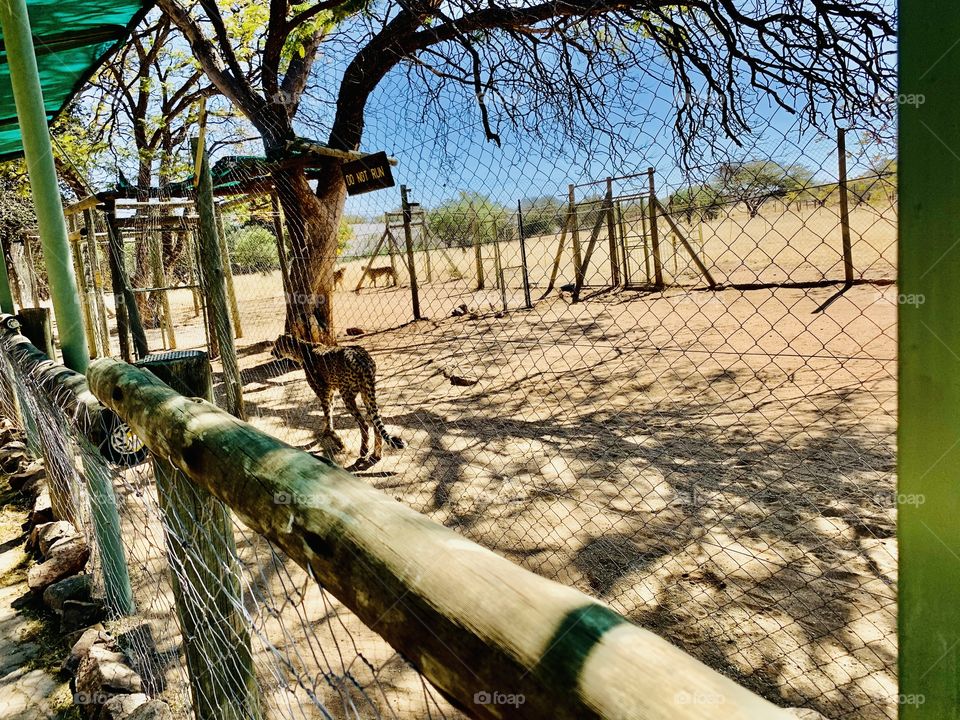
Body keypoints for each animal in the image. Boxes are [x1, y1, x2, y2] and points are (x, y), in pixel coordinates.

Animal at [270, 334, 404, 466]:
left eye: (277, 345)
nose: (271, 352)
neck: (301, 350)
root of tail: (361, 357)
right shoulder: (330, 394)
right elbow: (328, 418)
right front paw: (326, 433)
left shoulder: (324, 393)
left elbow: (329, 420)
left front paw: (339, 443)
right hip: (366, 392)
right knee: (376, 424)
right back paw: (376, 454)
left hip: (347, 395)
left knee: (364, 424)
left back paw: (363, 450)